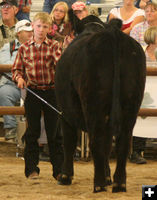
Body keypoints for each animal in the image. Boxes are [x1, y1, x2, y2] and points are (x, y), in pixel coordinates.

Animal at [54, 13, 147, 192]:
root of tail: (113, 34)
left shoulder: (65, 111)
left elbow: (69, 141)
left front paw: (65, 176)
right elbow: (107, 145)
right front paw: (107, 175)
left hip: (93, 104)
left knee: (96, 139)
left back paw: (99, 184)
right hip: (131, 104)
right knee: (123, 141)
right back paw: (118, 183)